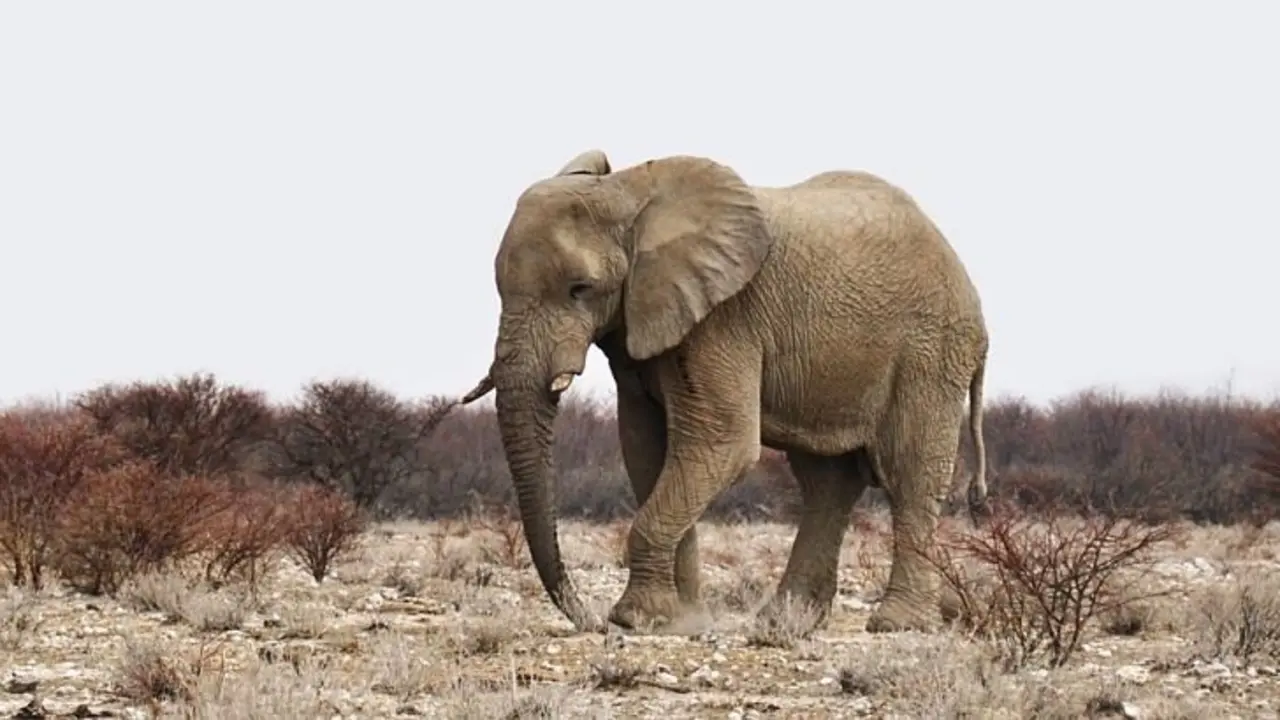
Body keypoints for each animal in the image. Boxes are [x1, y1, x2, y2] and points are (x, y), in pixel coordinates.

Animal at [458, 149, 989, 636]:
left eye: (580, 288)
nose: (589, 622)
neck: (630, 193)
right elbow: (647, 451)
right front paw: (679, 622)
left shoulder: (724, 317)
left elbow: (722, 443)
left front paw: (636, 620)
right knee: (826, 482)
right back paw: (782, 623)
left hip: (930, 349)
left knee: (909, 472)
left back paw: (895, 624)